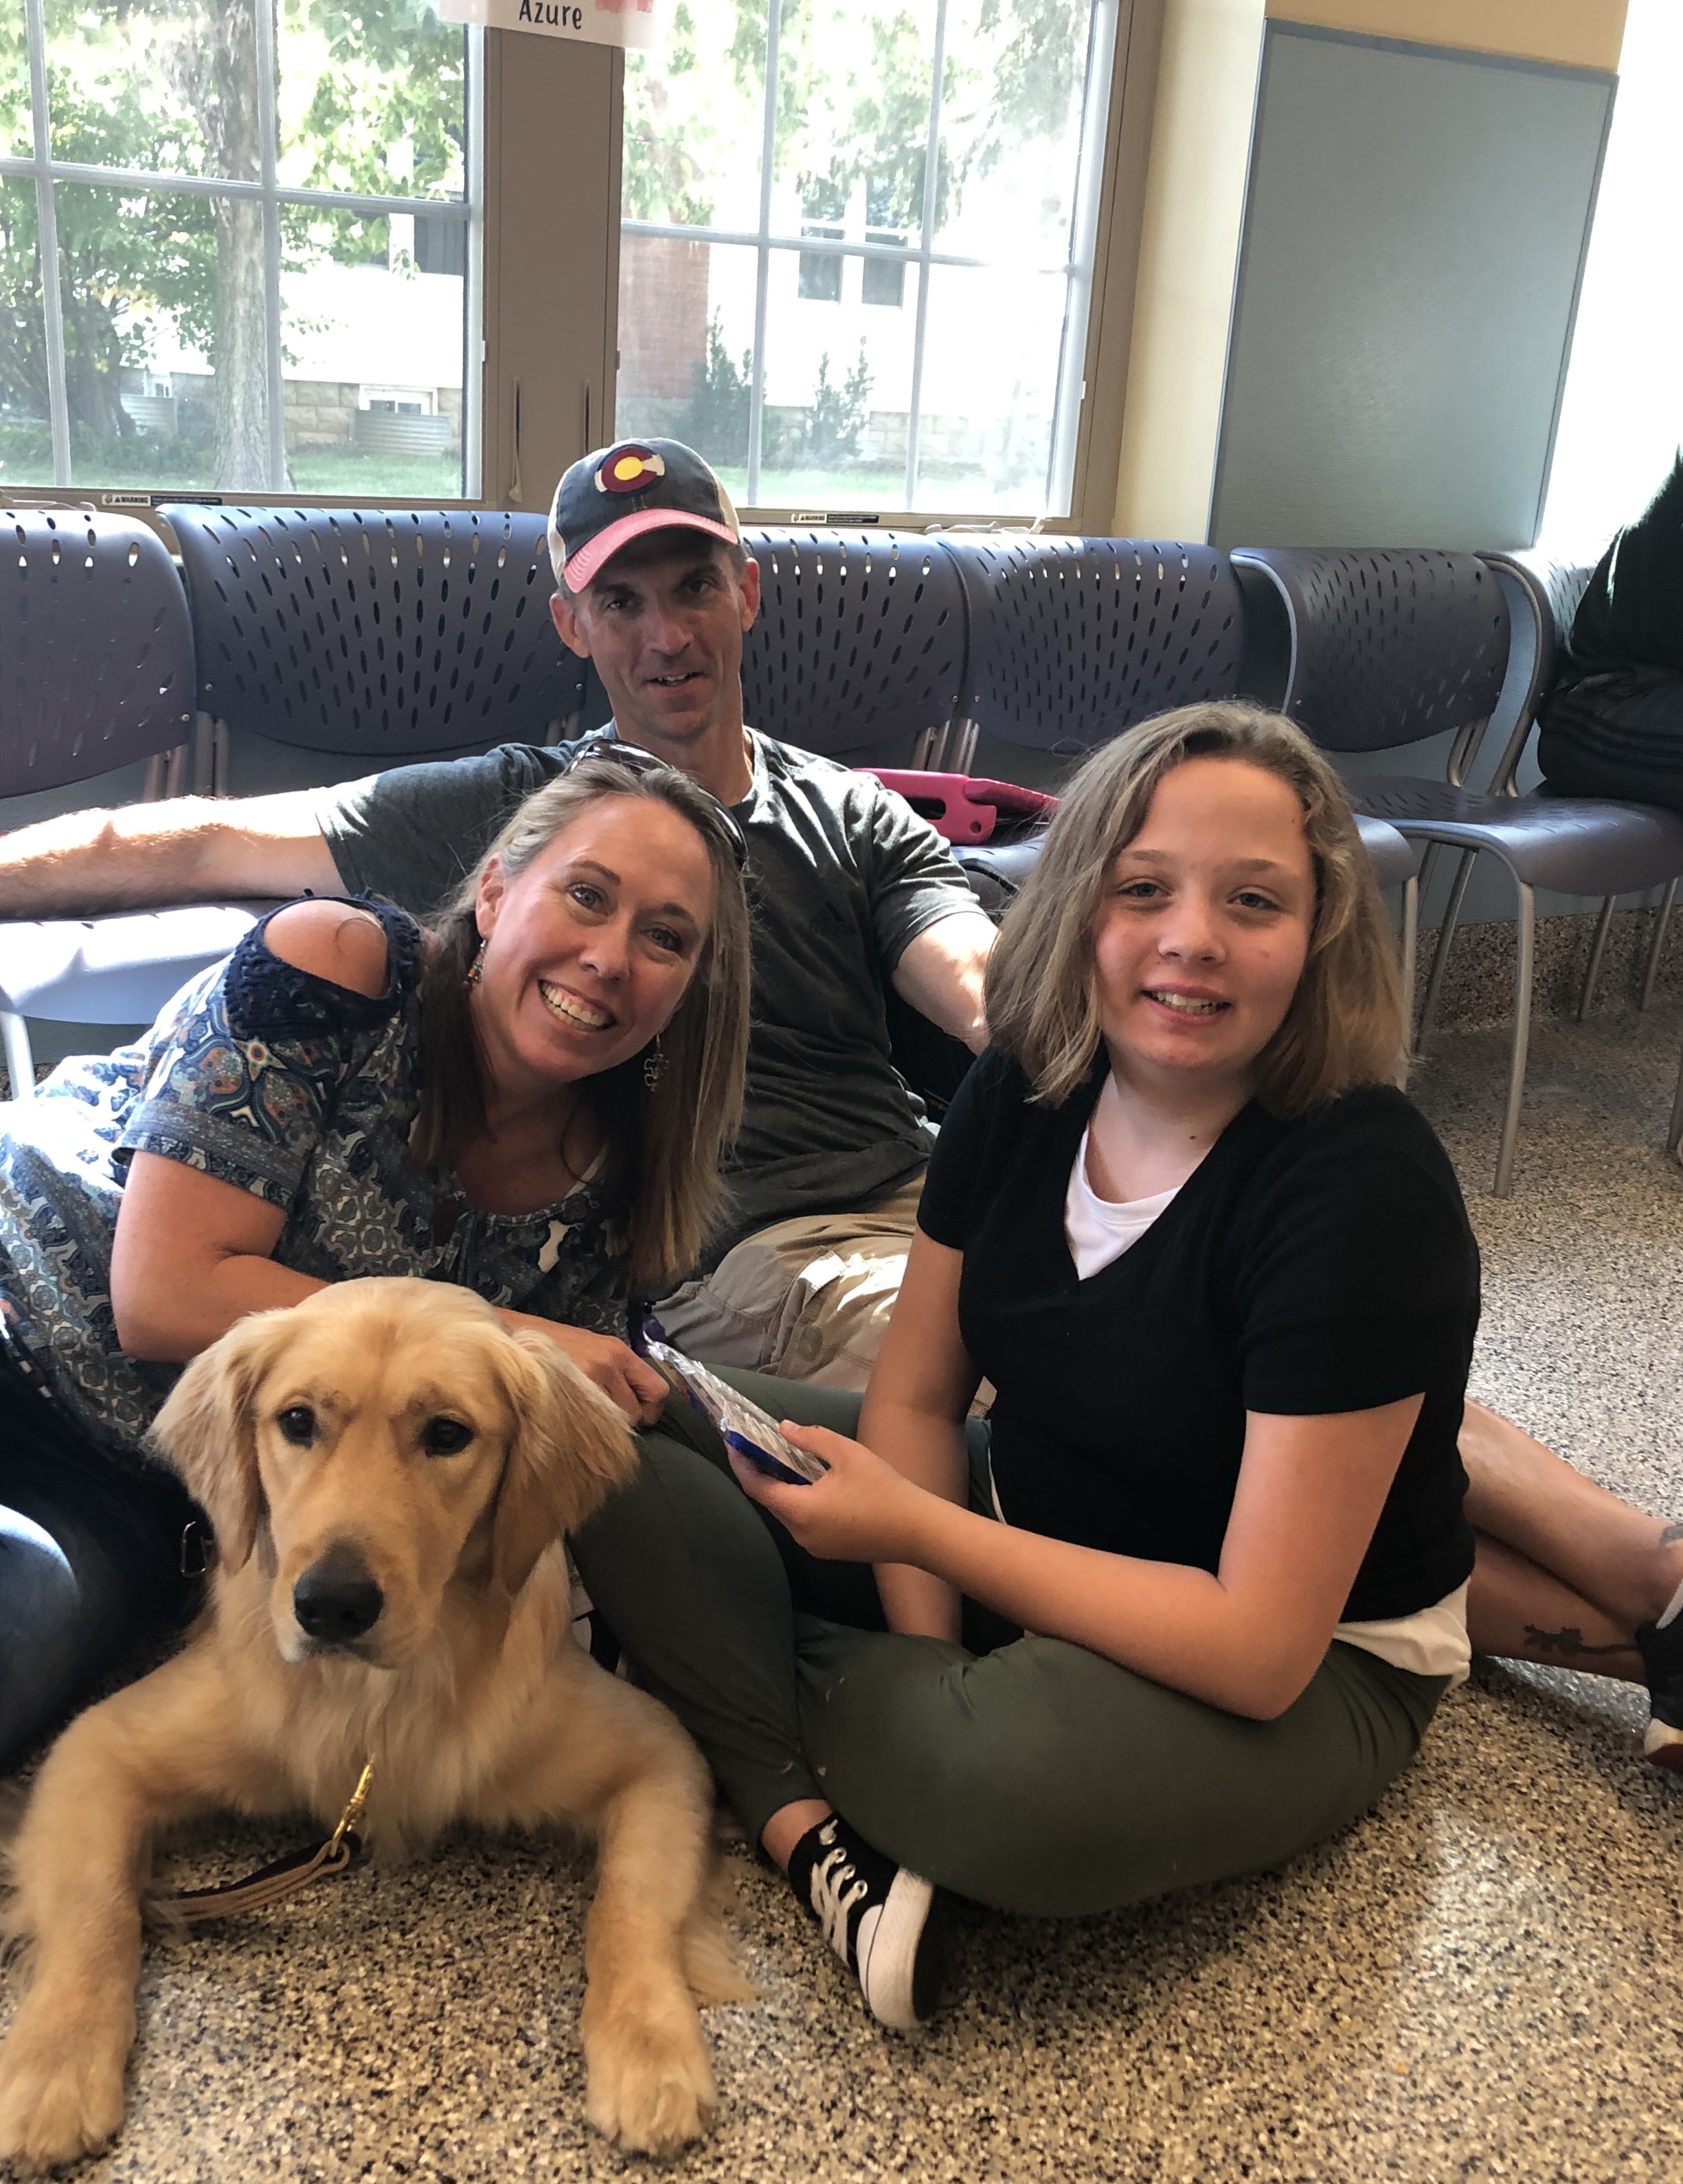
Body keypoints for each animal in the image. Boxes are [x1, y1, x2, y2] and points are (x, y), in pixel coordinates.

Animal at [0, 1275, 743, 2166]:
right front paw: (52, 2063)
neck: (373, 1701)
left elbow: (629, 1905)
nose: (331, 1605)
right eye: (297, 1421)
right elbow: (96, 1908)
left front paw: (649, 2048)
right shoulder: (98, 1748)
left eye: (447, 1434)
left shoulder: (658, 1753)